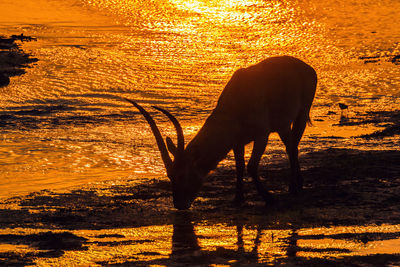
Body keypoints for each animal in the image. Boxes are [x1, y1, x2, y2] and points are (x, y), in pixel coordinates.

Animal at [126, 57, 318, 211]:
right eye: (170, 176)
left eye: (182, 175)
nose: (180, 205)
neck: (234, 107)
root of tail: (307, 68)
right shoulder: (237, 142)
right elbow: (240, 166)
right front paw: (238, 198)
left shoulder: (261, 135)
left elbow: (251, 166)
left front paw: (270, 198)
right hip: (283, 126)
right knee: (291, 146)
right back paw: (297, 184)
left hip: (300, 115)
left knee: (293, 147)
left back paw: (294, 188)